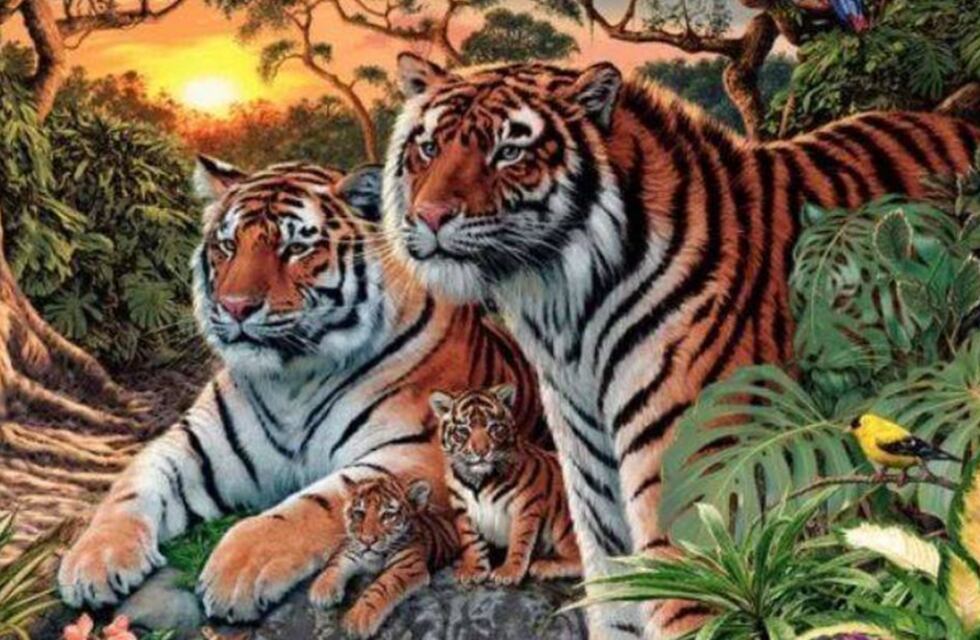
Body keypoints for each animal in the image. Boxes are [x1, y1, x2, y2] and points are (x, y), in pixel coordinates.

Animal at [308, 476, 458, 638]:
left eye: (388, 515)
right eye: (359, 513)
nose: (367, 540)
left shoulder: (407, 566)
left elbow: (381, 587)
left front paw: (358, 618)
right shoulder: (352, 548)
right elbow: (335, 564)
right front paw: (322, 589)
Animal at [430, 384, 581, 587]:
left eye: (494, 428)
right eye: (464, 431)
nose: (482, 451)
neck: (478, 481)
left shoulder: (526, 505)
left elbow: (519, 540)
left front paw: (509, 571)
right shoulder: (462, 509)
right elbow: (470, 541)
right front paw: (474, 569)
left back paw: (544, 567)